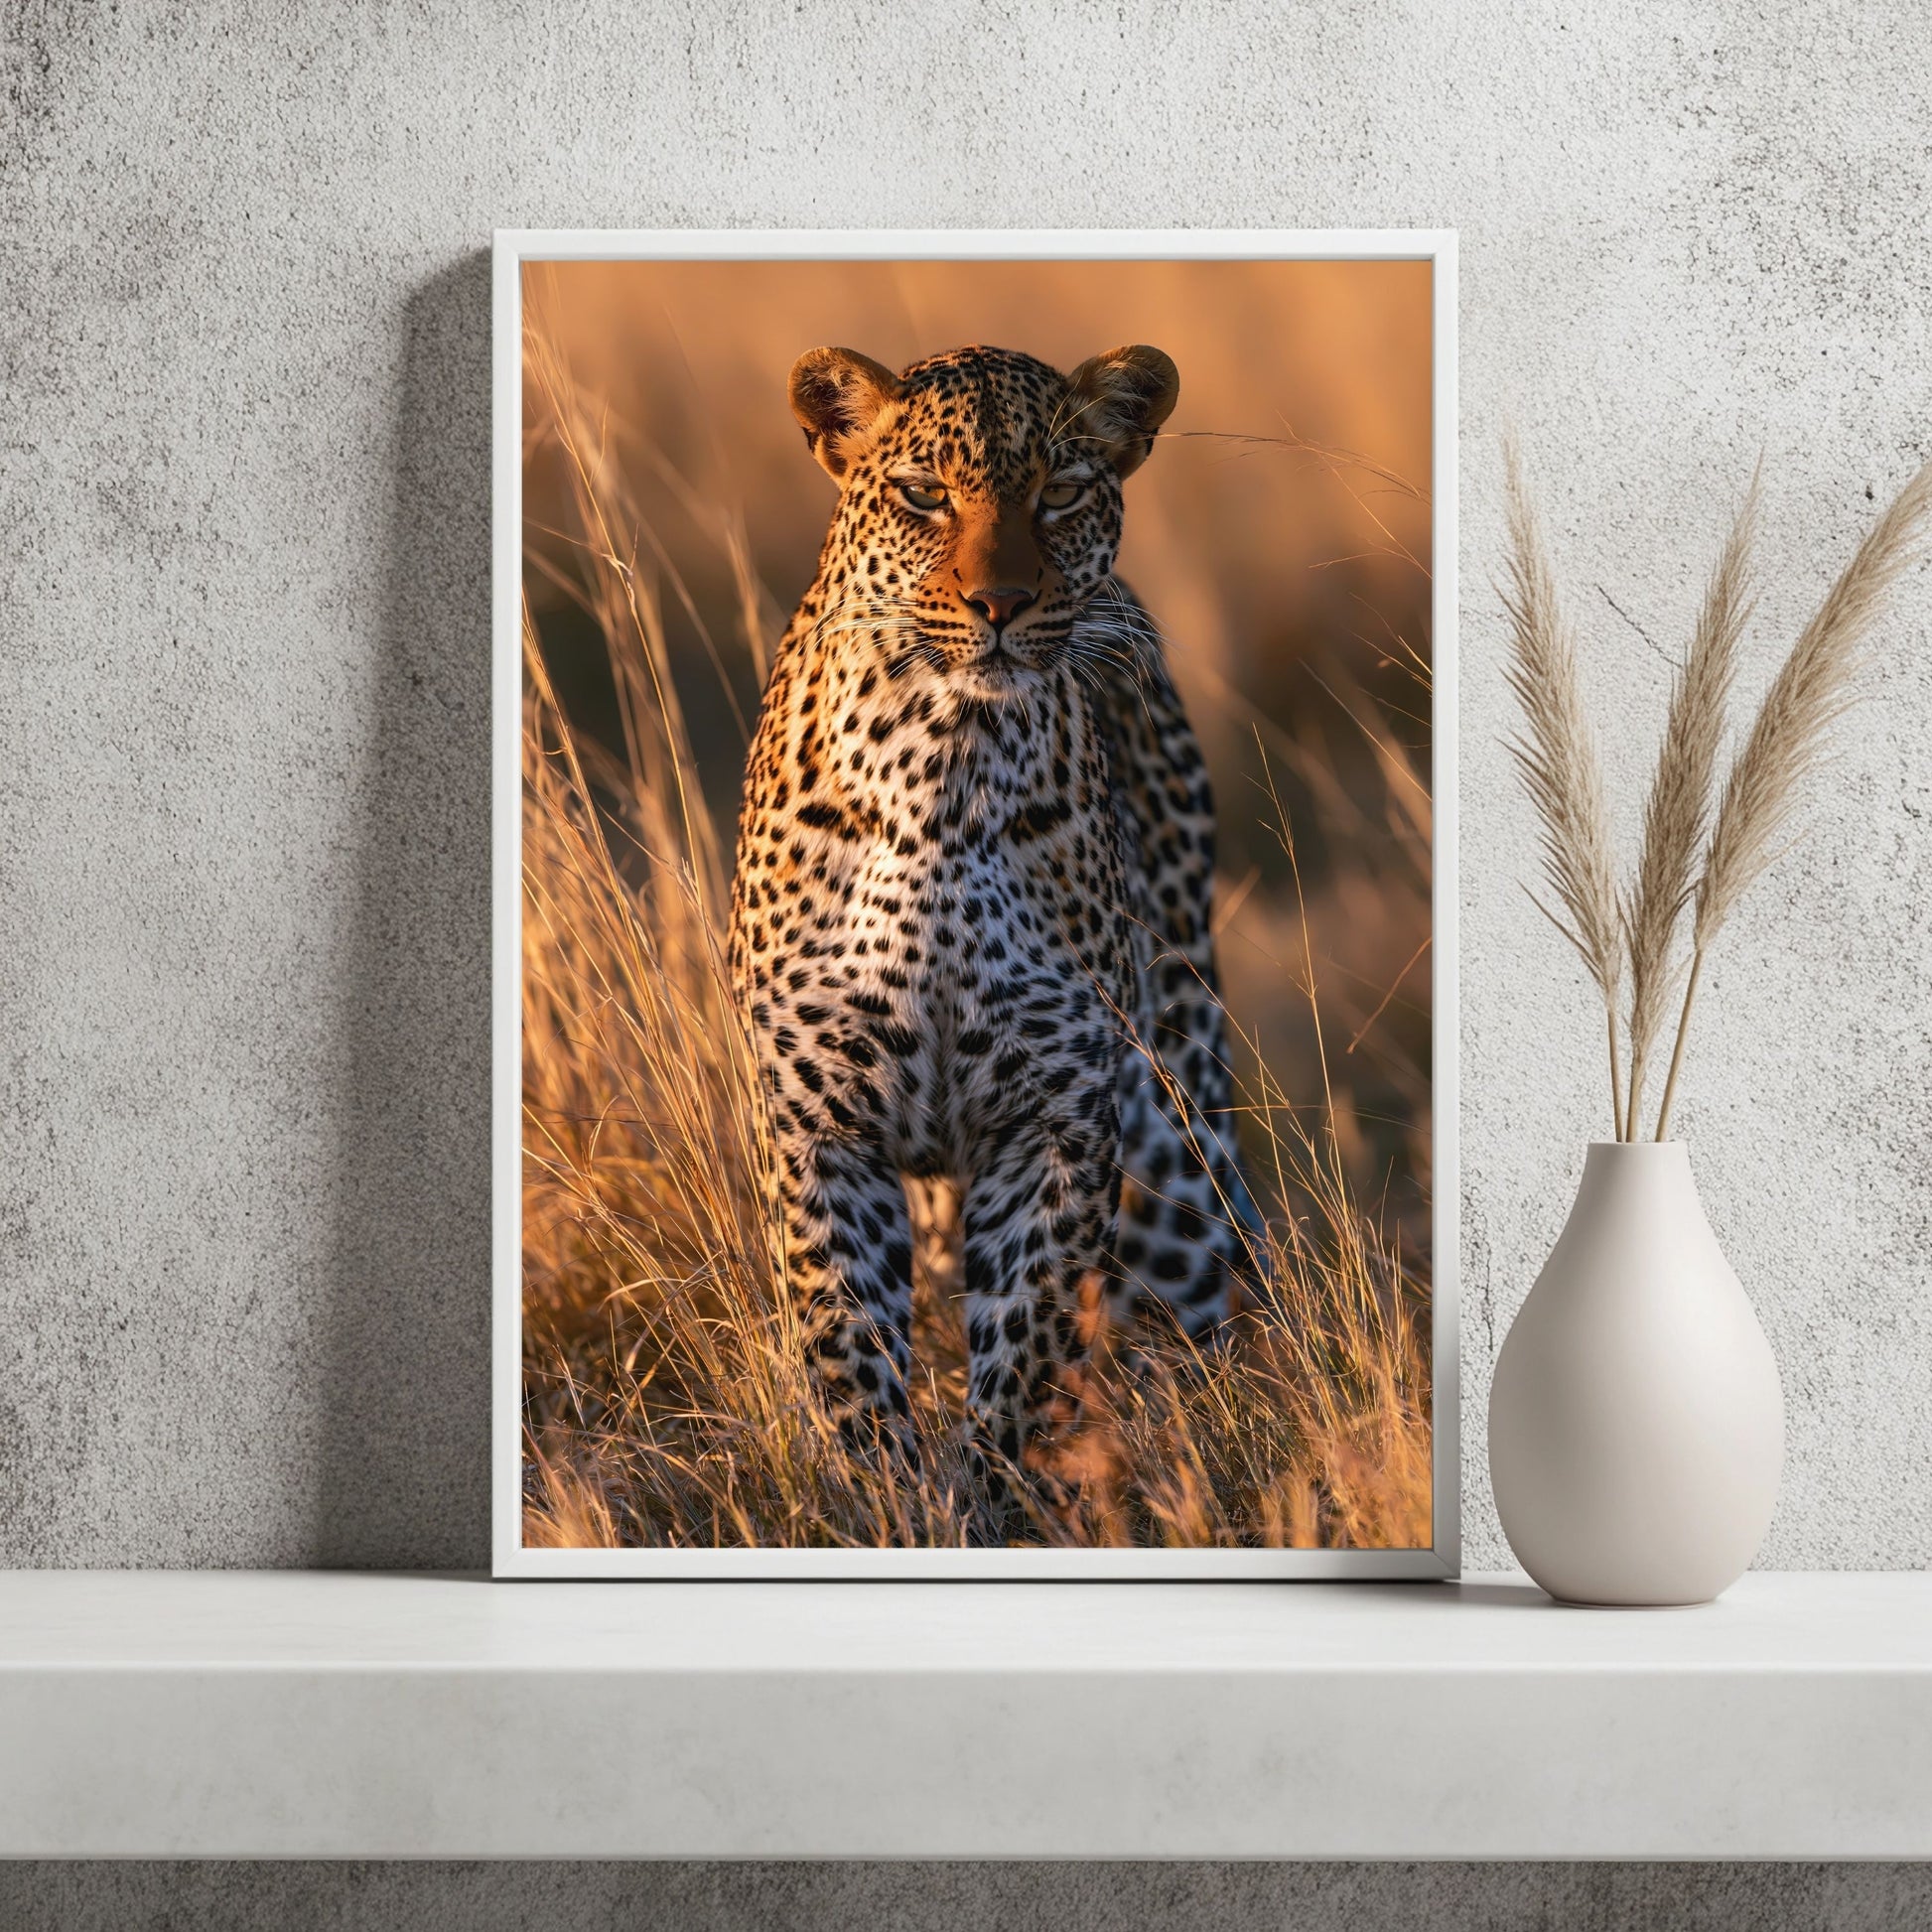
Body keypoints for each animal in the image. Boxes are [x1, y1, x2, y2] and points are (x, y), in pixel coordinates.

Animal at [727, 339, 1260, 1497]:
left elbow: (1024, 1352)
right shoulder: (821, 1124)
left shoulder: (1055, 1122)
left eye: (1059, 492)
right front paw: (880, 1503)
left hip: (1176, 1142)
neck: (942, 762)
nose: (1000, 603)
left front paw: (986, 1502)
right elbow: (846, 1346)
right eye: (924, 495)